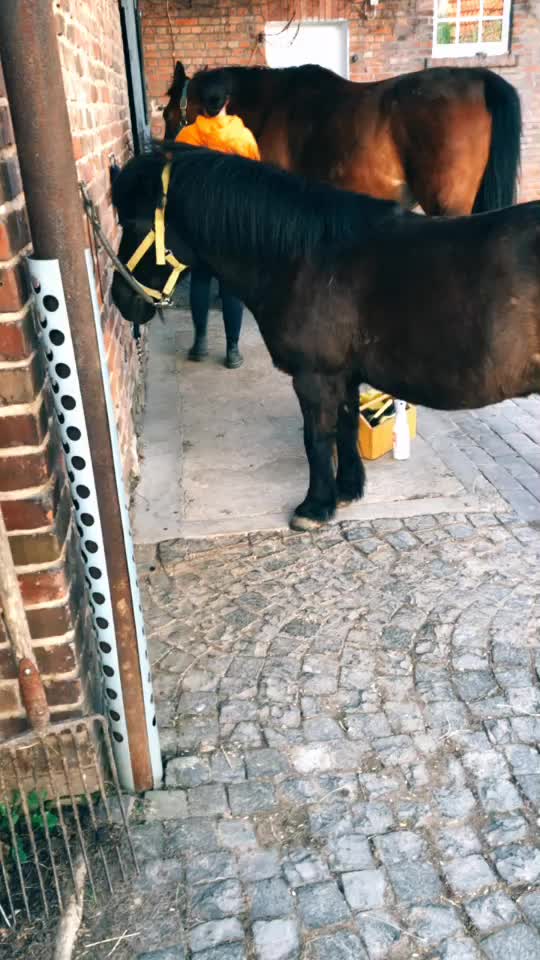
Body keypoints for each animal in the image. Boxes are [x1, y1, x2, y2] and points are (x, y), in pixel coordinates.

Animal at [111, 145, 540, 531]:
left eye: (132, 224)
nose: (120, 298)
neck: (307, 258)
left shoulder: (314, 376)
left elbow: (316, 438)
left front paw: (315, 507)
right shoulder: (344, 375)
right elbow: (345, 427)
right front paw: (348, 489)